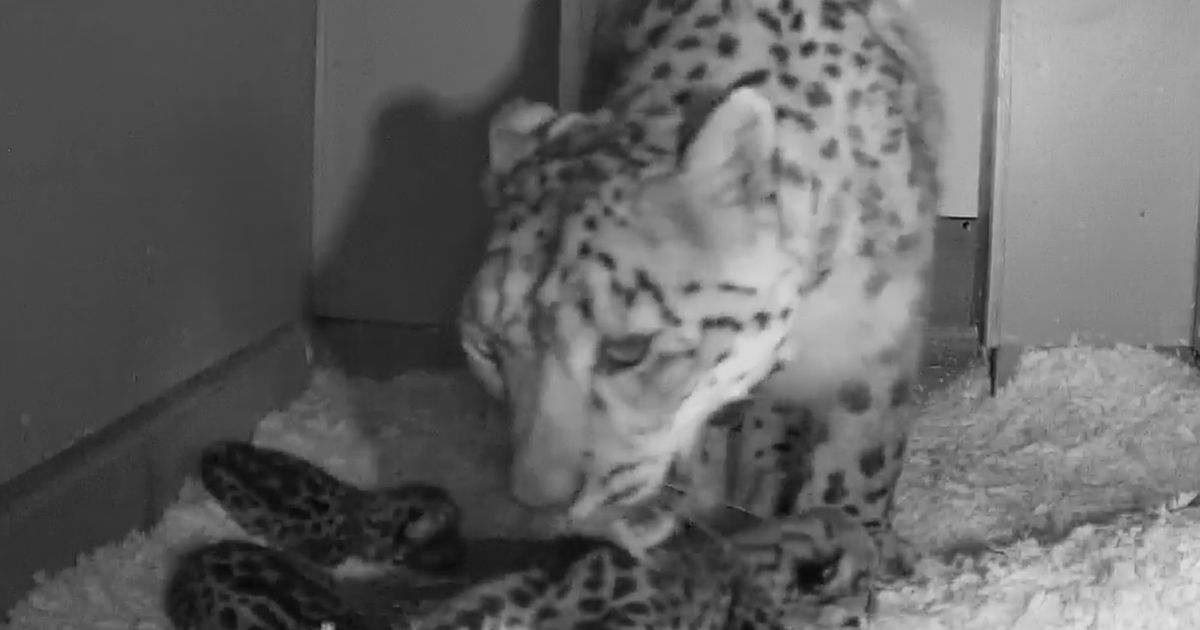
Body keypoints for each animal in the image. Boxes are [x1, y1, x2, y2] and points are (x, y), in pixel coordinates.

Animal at [458, 0, 942, 582]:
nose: (540, 501)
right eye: (486, 347)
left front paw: (853, 544)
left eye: (629, 349)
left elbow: (860, 456)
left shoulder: (876, 342)